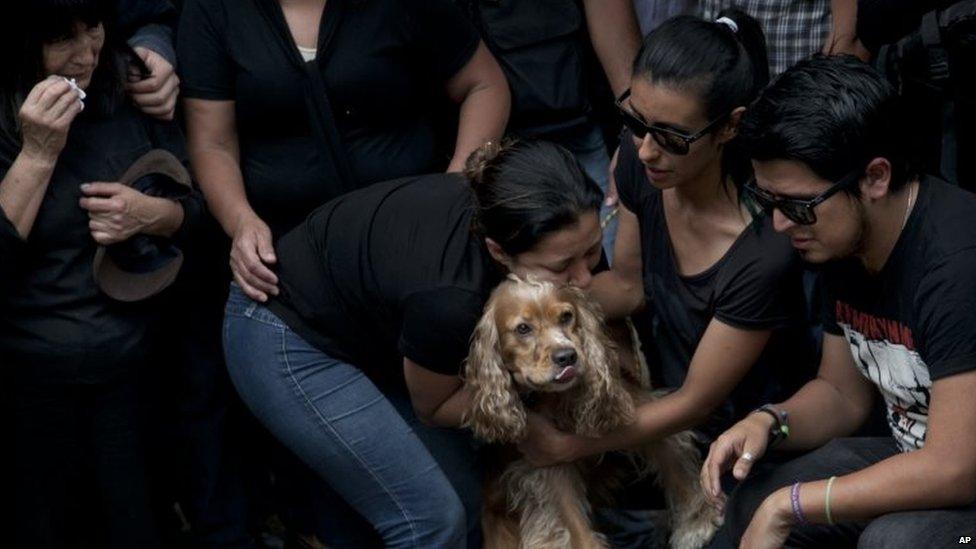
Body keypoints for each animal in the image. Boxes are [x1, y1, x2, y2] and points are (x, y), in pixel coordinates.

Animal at [462, 278, 720, 548]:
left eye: (566, 316)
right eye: (523, 329)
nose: (567, 356)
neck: (558, 397)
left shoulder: (640, 410)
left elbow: (671, 456)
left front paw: (697, 522)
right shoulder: (547, 459)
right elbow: (572, 519)